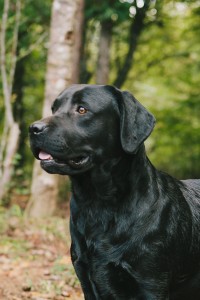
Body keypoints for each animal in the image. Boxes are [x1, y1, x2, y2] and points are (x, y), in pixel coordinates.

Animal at [29, 85, 200, 300]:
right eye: (54, 108)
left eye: (82, 109)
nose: (33, 128)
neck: (98, 204)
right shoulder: (86, 277)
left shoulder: (151, 283)